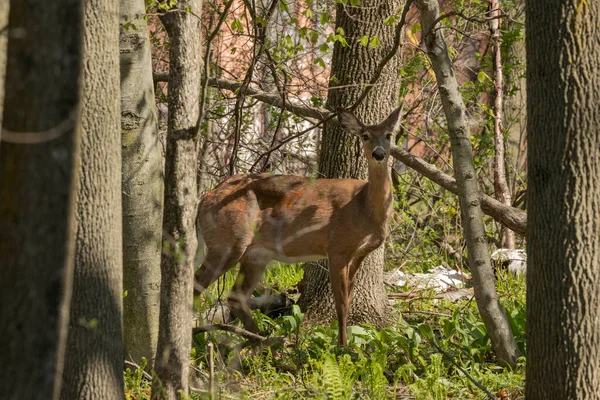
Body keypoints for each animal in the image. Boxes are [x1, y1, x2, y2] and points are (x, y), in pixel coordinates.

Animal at [195, 105, 400, 344]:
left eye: (389, 135)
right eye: (365, 135)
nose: (379, 154)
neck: (364, 207)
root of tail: (204, 199)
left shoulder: (359, 253)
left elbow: (348, 300)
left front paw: (346, 343)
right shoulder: (337, 247)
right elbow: (340, 304)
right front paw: (342, 346)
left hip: (256, 254)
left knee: (235, 296)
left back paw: (263, 340)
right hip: (228, 242)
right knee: (195, 284)